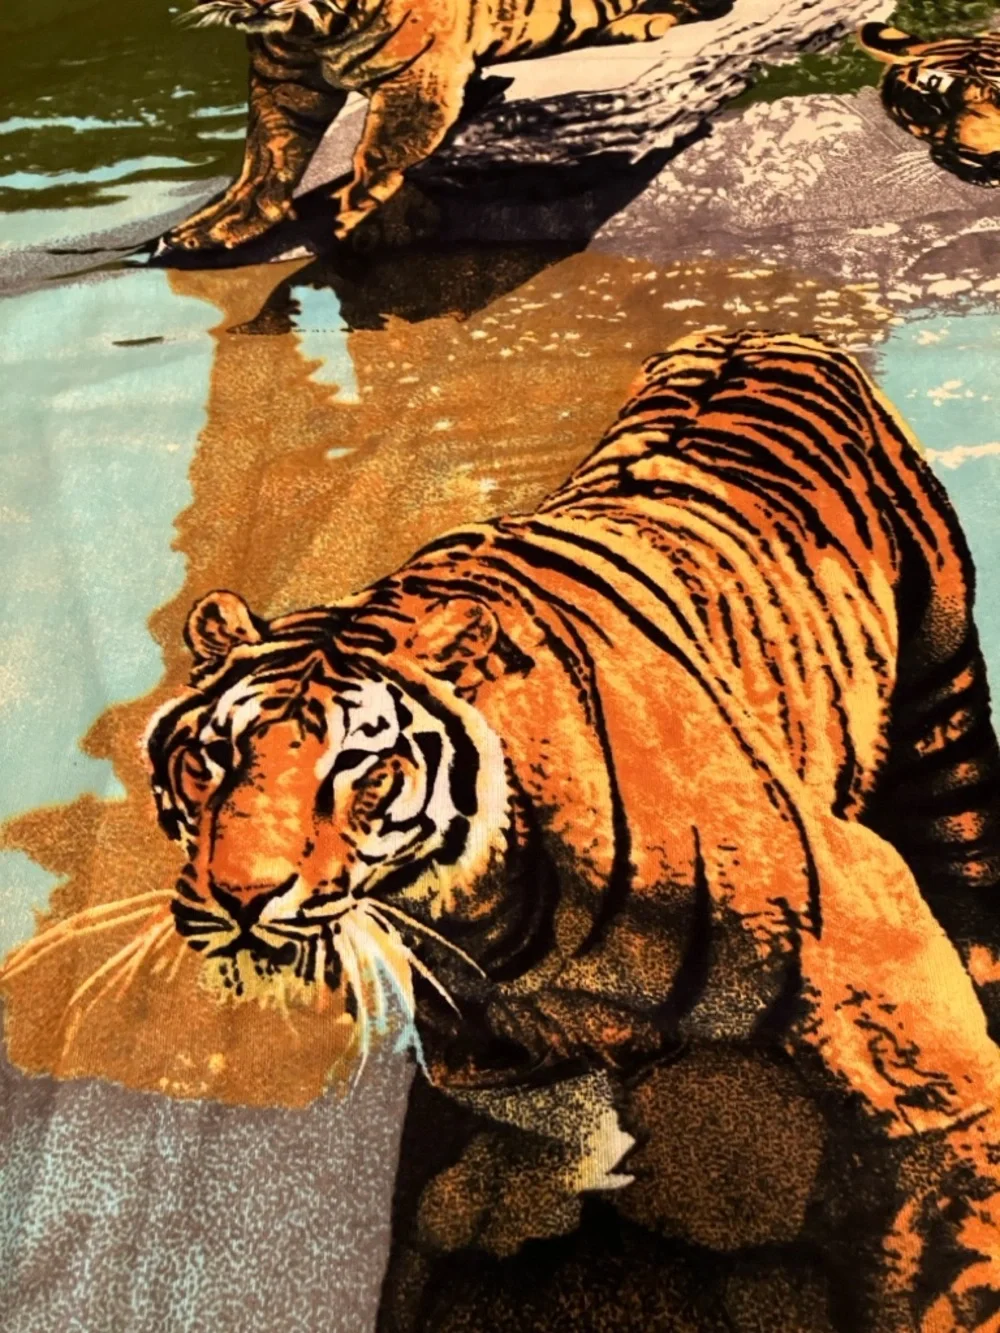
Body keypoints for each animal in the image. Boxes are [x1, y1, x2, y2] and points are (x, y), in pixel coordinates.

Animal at [140, 328, 1000, 1330]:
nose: (240, 896)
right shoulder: (491, 1060)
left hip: (943, 700)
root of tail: (757, 332)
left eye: (357, 763)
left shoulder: (866, 929)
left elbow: (942, 1155)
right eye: (212, 758)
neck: (491, 921)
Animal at [160, 0, 727, 255]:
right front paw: (220, 224)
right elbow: (267, 154)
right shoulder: (282, 78)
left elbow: (385, 141)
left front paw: (359, 206)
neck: (313, 27)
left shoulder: (422, 66)